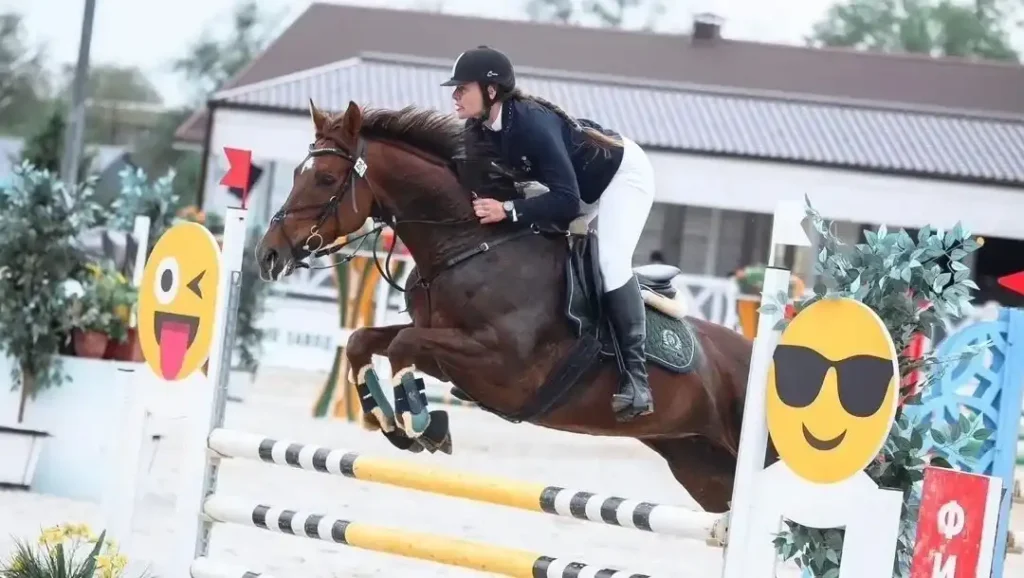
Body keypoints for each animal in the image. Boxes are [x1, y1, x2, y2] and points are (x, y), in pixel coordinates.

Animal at [255, 100, 754, 513]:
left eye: (324, 178)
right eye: (296, 173)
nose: (268, 255)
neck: (470, 246)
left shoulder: (503, 366)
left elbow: (402, 345)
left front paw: (425, 425)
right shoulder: (446, 353)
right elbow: (366, 342)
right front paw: (392, 422)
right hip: (702, 467)